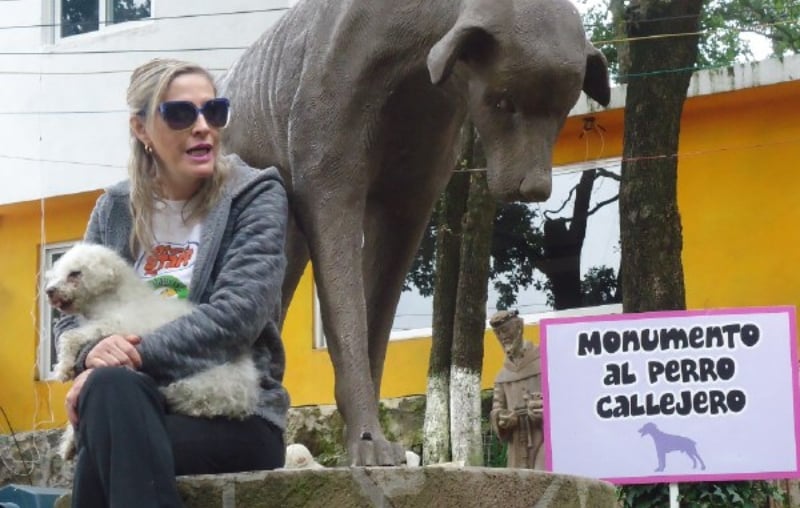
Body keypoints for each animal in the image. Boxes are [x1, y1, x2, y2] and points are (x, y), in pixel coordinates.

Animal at [47, 243, 260, 460]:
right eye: (57, 273)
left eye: (75, 273)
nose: (49, 291)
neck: (114, 300)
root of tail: (245, 398)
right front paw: (68, 443)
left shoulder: (117, 325)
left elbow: (70, 336)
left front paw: (63, 367)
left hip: (194, 385)